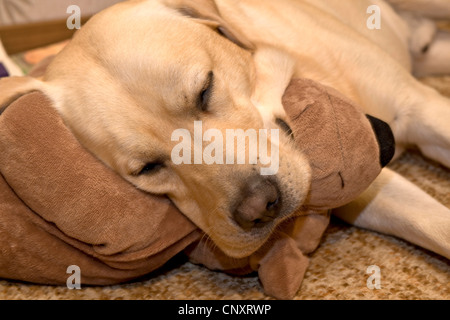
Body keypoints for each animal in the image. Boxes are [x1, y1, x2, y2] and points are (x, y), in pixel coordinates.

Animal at [0, 0, 450, 258]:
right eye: (147, 168)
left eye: (205, 89)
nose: (260, 208)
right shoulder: (365, 183)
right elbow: (431, 223)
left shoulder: (420, 107)